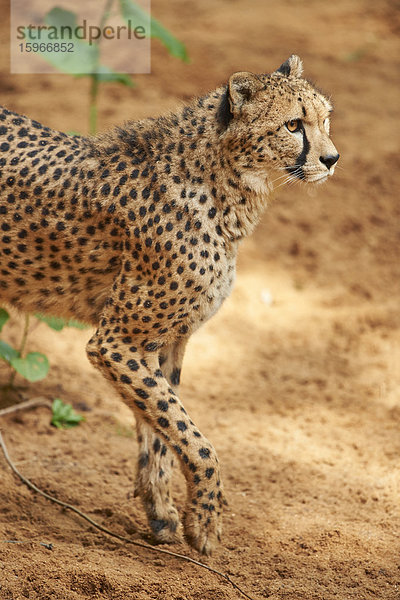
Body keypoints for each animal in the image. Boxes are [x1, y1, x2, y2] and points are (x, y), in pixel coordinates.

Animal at [0, 56, 338, 552]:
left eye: (325, 119)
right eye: (293, 125)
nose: (332, 159)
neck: (227, 189)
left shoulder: (164, 342)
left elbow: (160, 427)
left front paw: (160, 511)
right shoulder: (116, 342)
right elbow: (193, 437)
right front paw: (205, 521)